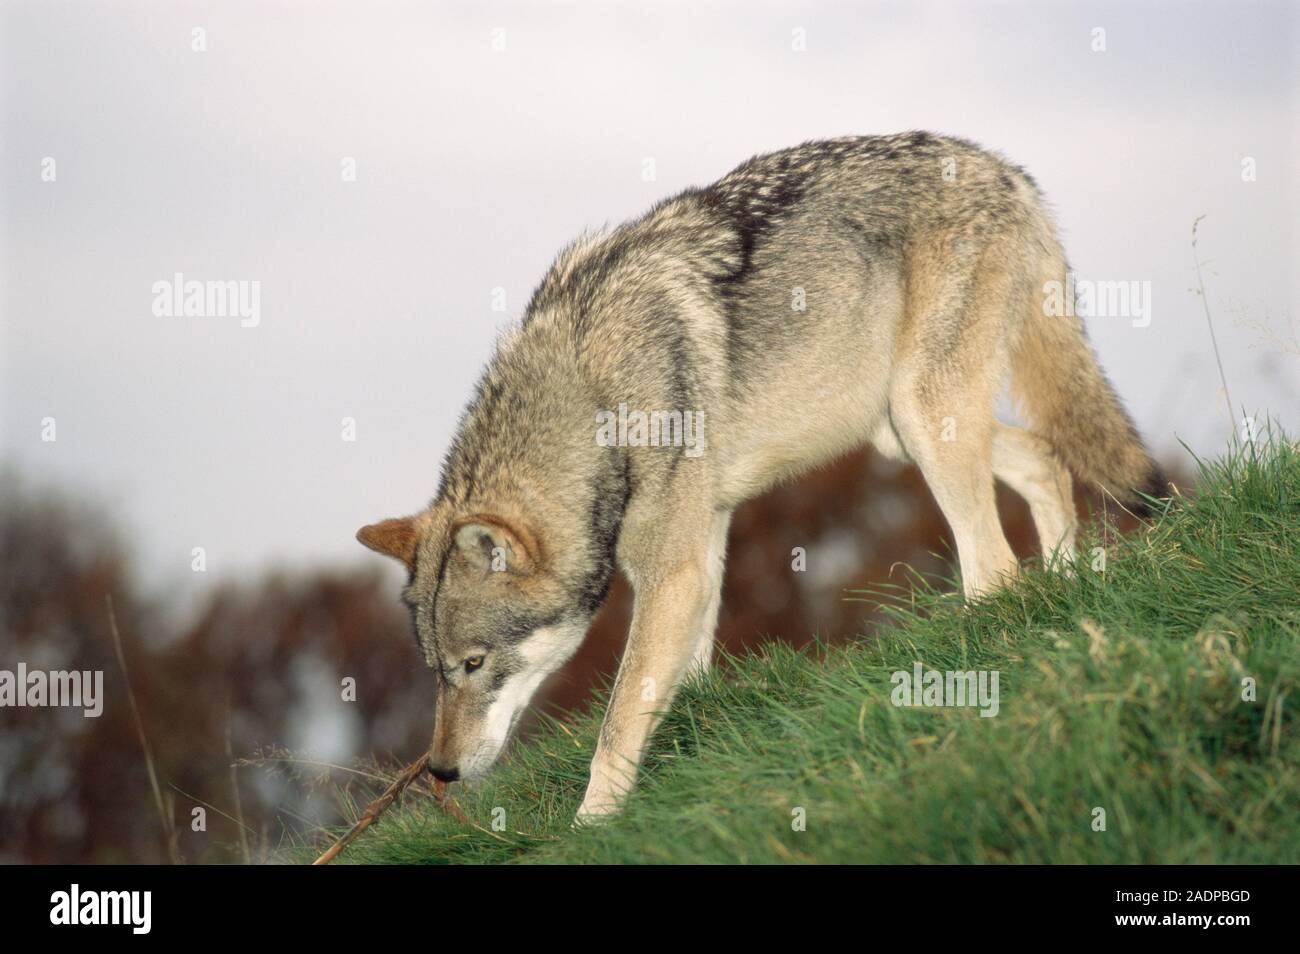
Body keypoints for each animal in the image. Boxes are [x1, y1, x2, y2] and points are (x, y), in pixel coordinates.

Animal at [357, 132, 1162, 823]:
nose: (440, 771)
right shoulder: (704, 544)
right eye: (435, 669)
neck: (592, 395)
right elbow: (683, 685)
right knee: (1046, 458)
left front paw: (594, 826)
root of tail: (1005, 168)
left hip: (921, 412)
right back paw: (1065, 587)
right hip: (898, 430)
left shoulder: (671, 570)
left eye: (473, 663)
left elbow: (617, 718)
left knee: (994, 564)